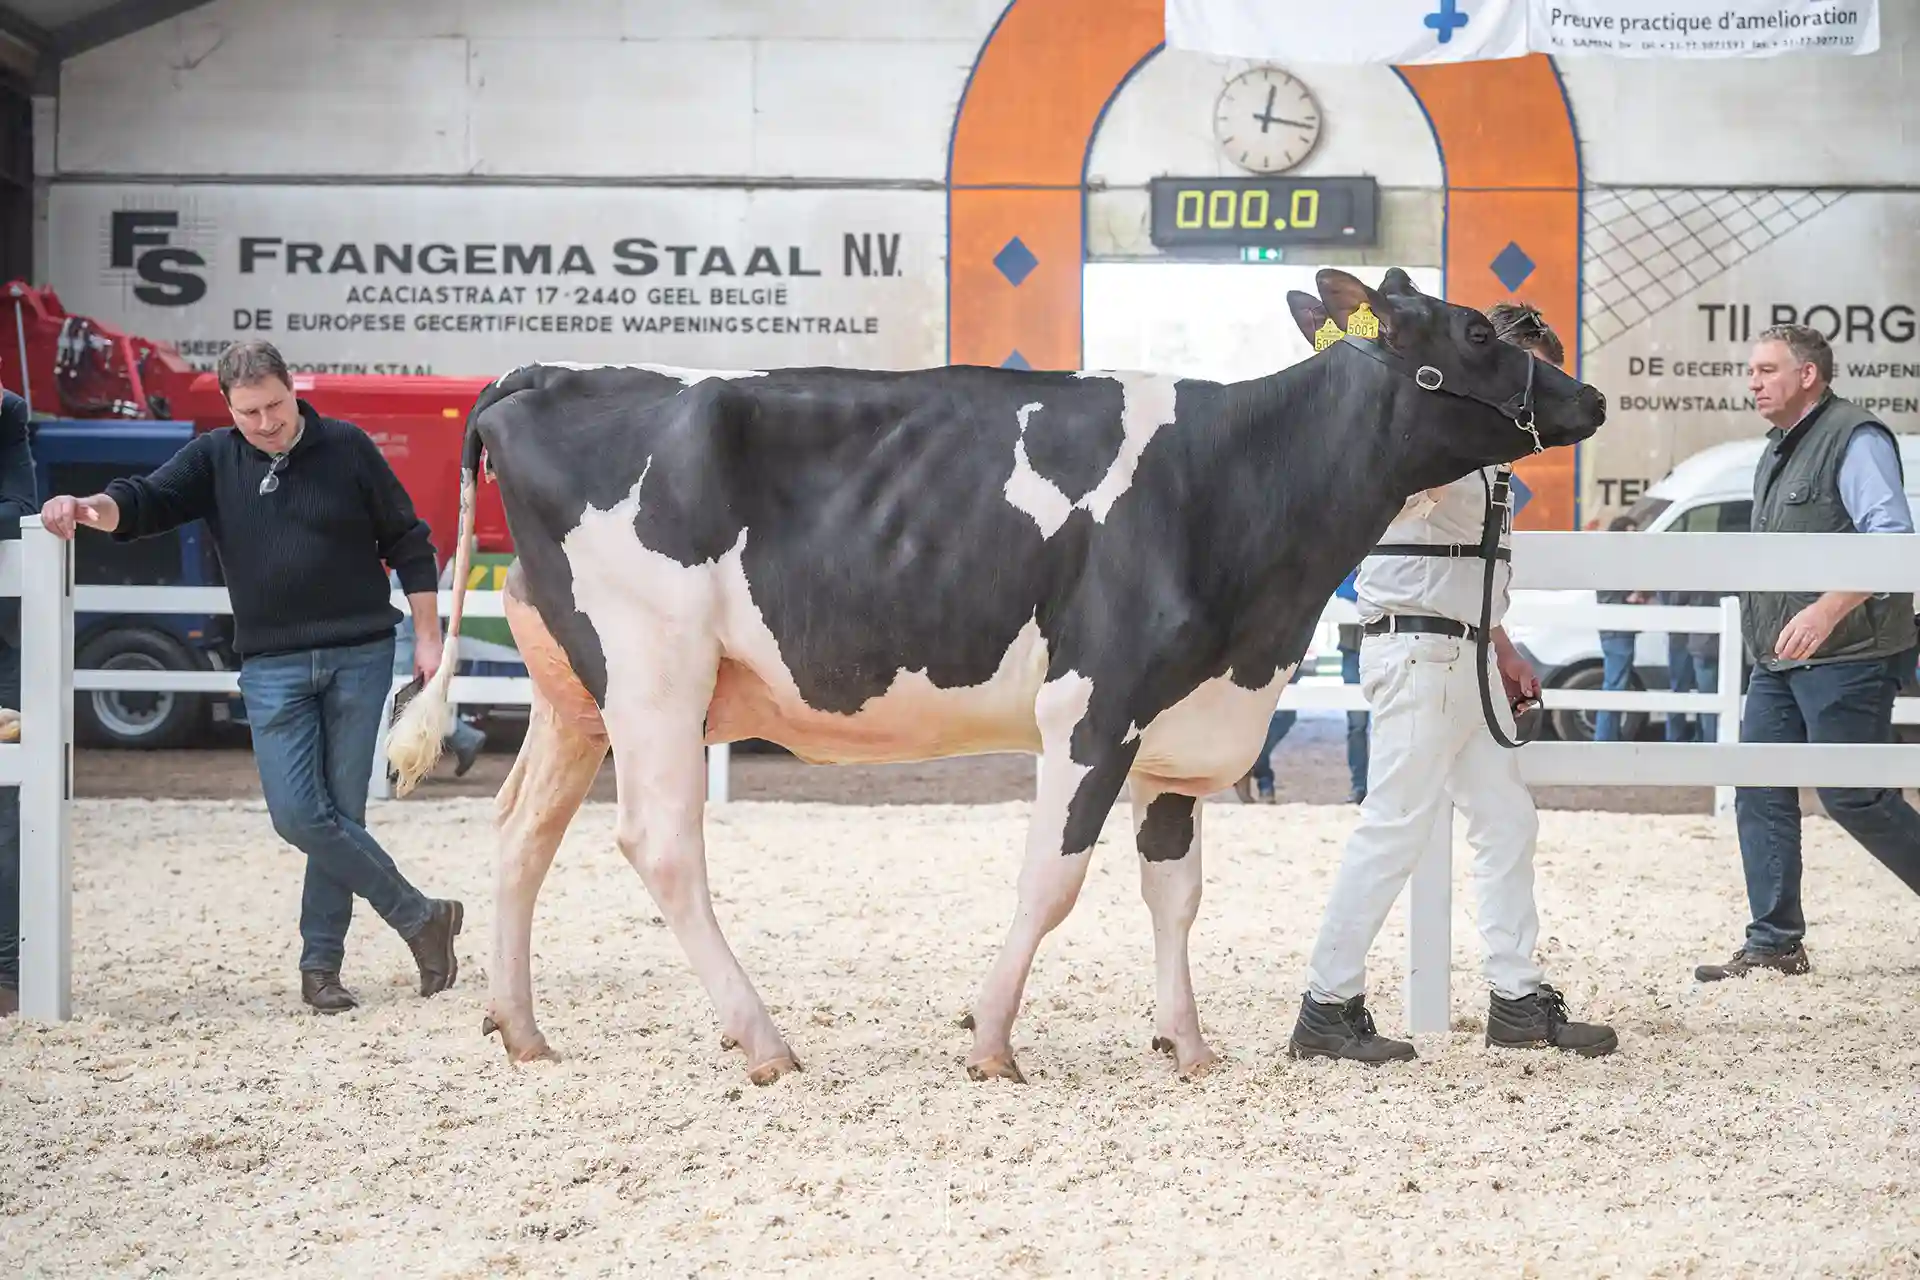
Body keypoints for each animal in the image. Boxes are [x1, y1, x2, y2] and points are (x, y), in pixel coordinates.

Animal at [386, 267, 1606, 1086]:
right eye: (1475, 331)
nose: (1588, 399)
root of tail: (545, 371)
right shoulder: (1093, 706)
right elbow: (1050, 882)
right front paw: (991, 1040)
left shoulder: (1178, 718)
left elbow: (1176, 890)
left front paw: (1188, 1042)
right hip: (655, 672)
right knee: (660, 844)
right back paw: (765, 1040)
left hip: (572, 690)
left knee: (521, 828)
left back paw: (522, 1028)